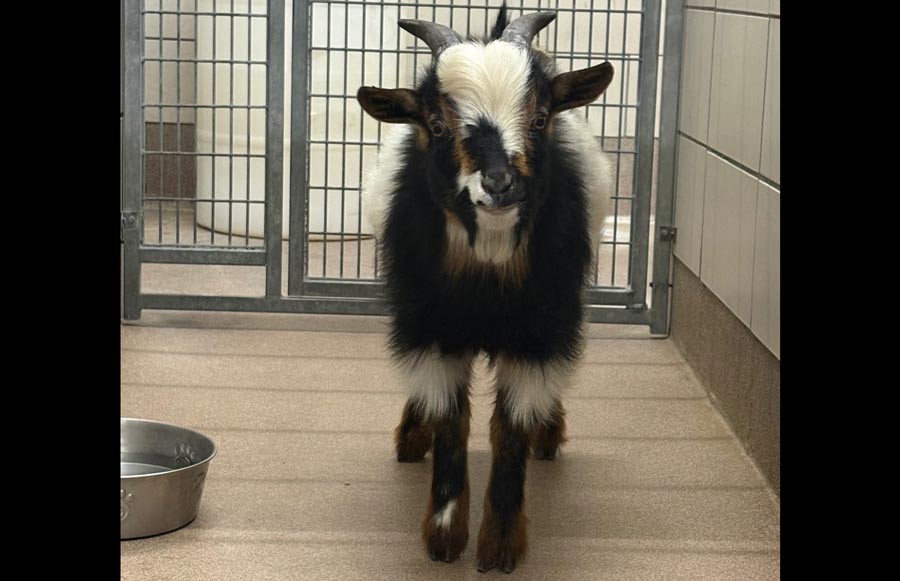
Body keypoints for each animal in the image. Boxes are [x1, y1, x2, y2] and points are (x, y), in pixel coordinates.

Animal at [357, 3, 614, 573]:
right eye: (435, 124)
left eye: (540, 118)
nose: (498, 185)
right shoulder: (430, 326)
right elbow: (452, 420)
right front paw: (445, 537)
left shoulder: (539, 333)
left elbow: (510, 429)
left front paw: (499, 546)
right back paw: (412, 437)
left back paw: (549, 432)